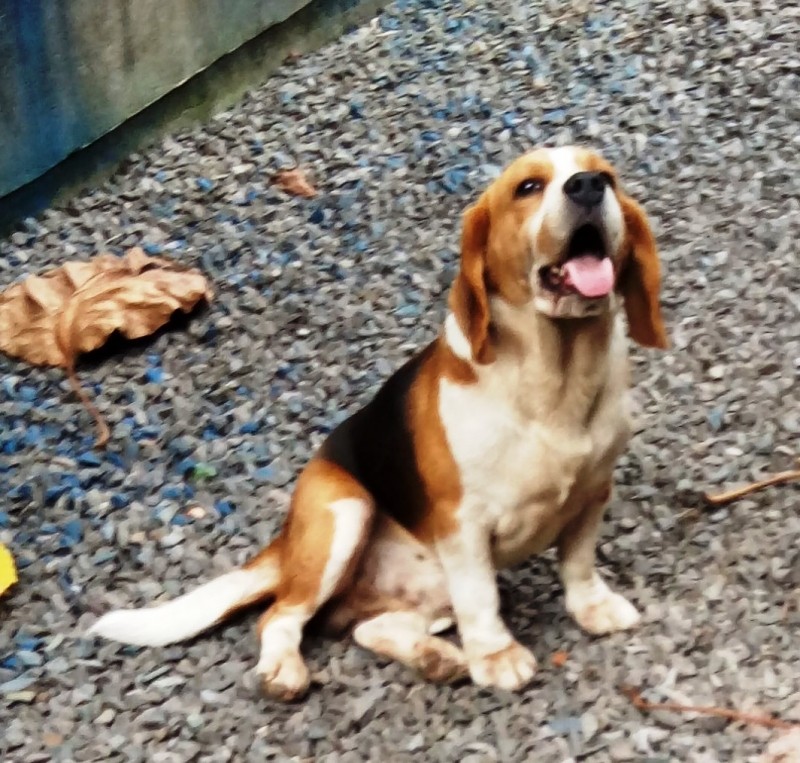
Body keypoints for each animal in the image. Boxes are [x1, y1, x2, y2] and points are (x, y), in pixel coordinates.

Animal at [90, 146, 668, 700]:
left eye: (607, 176)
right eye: (528, 187)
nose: (587, 186)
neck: (558, 372)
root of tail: (287, 539)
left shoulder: (593, 491)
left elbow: (578, 562)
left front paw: (591, 607)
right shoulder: (463, 526)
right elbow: (482, 598)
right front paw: (497, 656)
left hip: (425, 588)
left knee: (373, 628)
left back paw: (436, 659)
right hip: (345, 512)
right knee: (282, 616)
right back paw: (284, 669)